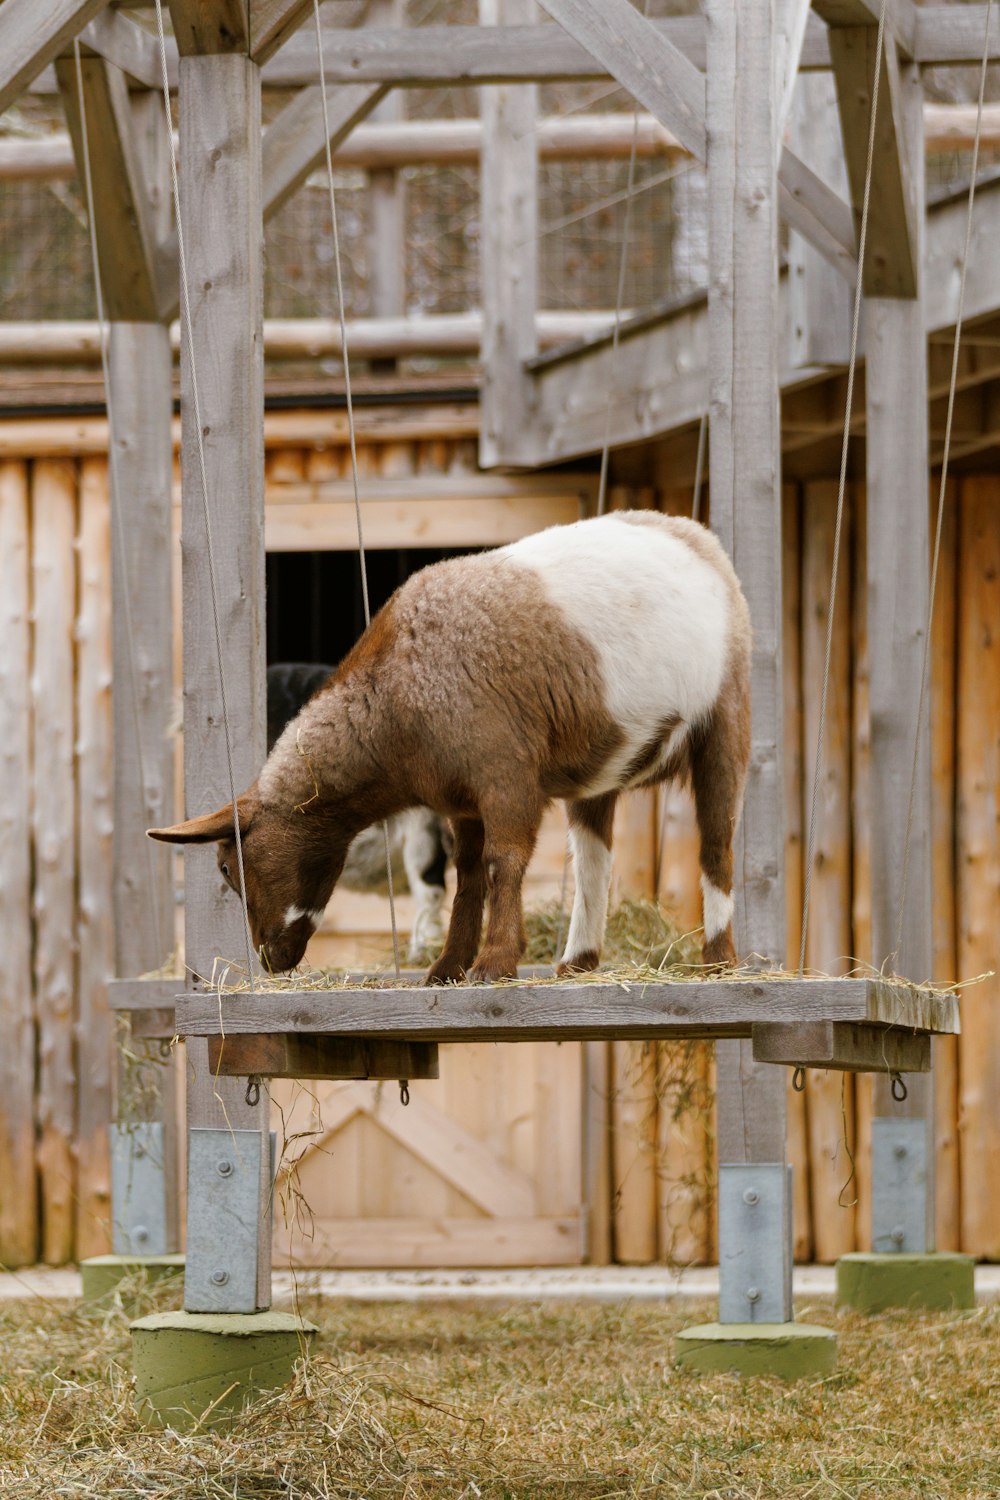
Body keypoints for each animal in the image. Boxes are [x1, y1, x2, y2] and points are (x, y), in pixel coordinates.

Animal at [148, 516, 749, 984]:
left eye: (227, 867)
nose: (271, 960)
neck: (393, 704)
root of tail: (697, 537)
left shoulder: (503, 770)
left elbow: (504, 861)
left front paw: (494, 964)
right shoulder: (460, 800)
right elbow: (469, 876)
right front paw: (448, 968)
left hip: (726, 716)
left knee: (716, 845)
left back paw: (718, 960)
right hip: (604, 761)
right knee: (593, 859)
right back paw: (577, 962)